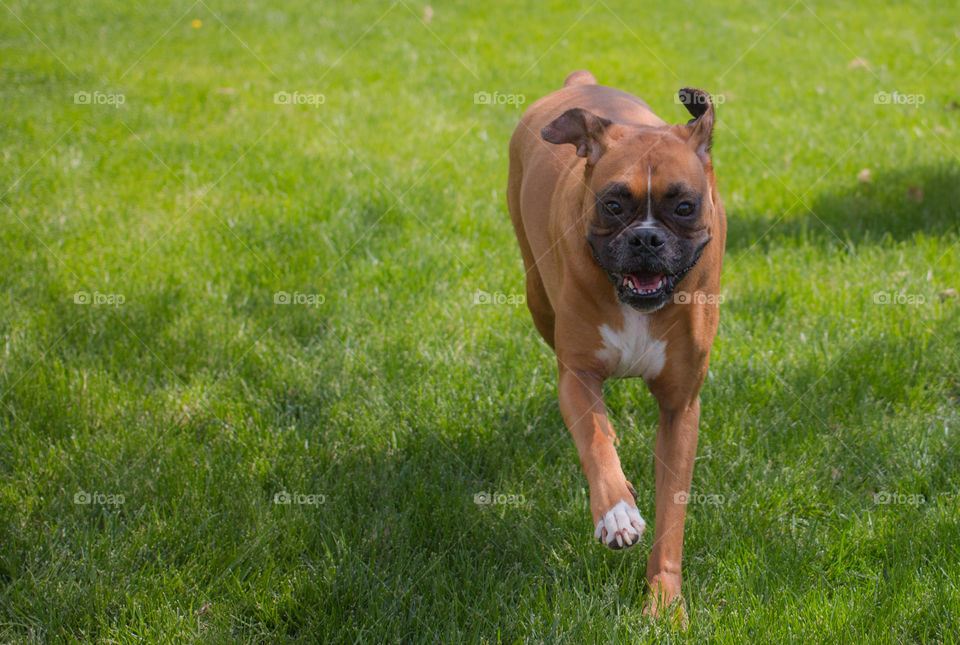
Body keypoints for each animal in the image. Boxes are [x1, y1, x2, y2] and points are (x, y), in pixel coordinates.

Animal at [506, 70, 724, 620]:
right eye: (613, 204)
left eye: (684, 207)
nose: (646, 239)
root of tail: (581, 81)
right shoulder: (577, 376)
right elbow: (596, 441)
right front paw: (617, 513)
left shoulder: (680, 409)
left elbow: (672, 511)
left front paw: (665, 601)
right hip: (537, 297)